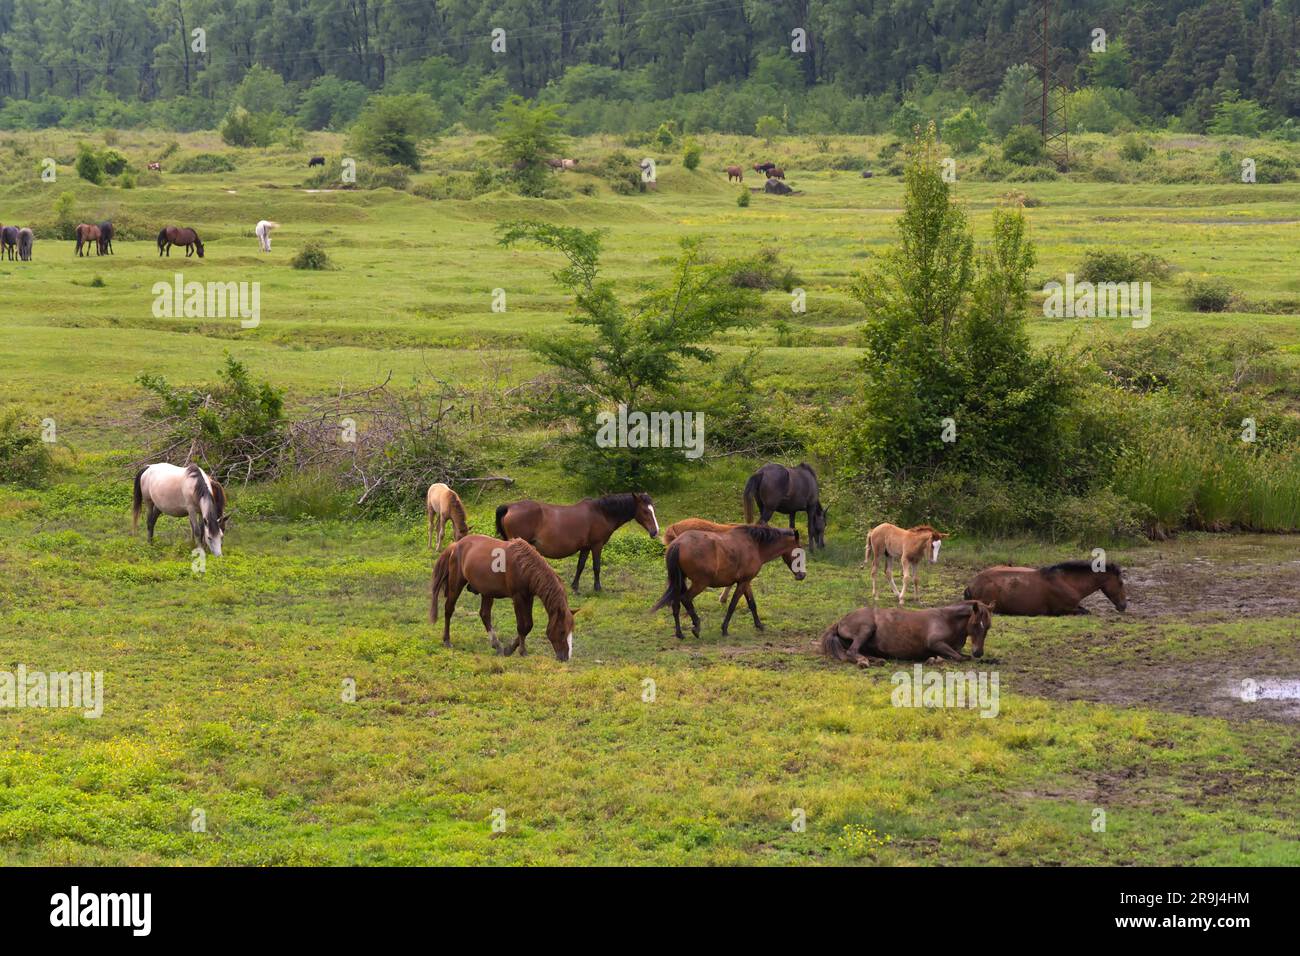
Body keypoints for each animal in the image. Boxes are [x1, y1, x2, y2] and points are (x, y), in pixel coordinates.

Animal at [430, 535, 575, 661]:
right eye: (562, 631)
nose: (565, 657)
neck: (525, 566)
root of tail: (455, 545)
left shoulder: (528, 597)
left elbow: (528, 625)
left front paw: (509, 649)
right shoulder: (518, 598)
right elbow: (522, 626)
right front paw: (522, 651)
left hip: (487, 592)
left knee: (484, 614)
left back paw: (496, 645)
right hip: (456, 585)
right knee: (449, 609)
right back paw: (447, 640)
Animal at [496, 492, 659, 592]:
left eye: (653, 509)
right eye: (645, 511)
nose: (655, 531)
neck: (601, 513)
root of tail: (510, 506)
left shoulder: (585, 547)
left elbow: (580, 566)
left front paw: (575, 586)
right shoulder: (597, 545)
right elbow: (596, 567)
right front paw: (598, 587)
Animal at [652, 525, 805, 639]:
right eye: (798, 553)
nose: (802, 575)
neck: (754, 545)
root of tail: (678, 543)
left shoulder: (746, 582)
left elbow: (752, 604)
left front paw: (759, 625)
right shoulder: (742, 583)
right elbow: (732, 605)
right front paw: (724, 629)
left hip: (680, 583)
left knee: (676, 604)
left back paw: (679, 633)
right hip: (700, 584)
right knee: (685, 599)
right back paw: (696, 626)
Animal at [820, 601, 993, 664]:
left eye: (988, 627)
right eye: (975, 624)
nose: (979, 652)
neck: (947, 620)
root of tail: (841, 621)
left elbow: (963, 655)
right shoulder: (936, 644)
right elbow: (960, 657)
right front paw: (933, 659)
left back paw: (877, 660)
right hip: (866, 629)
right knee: (852, 652)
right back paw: (864, 662)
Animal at [964, 561, 1128, 616]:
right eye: (1121, 583)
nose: (1124, 606)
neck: (1067, 582)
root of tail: (972, 584)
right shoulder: (1064, 610)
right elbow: (1086, 612)